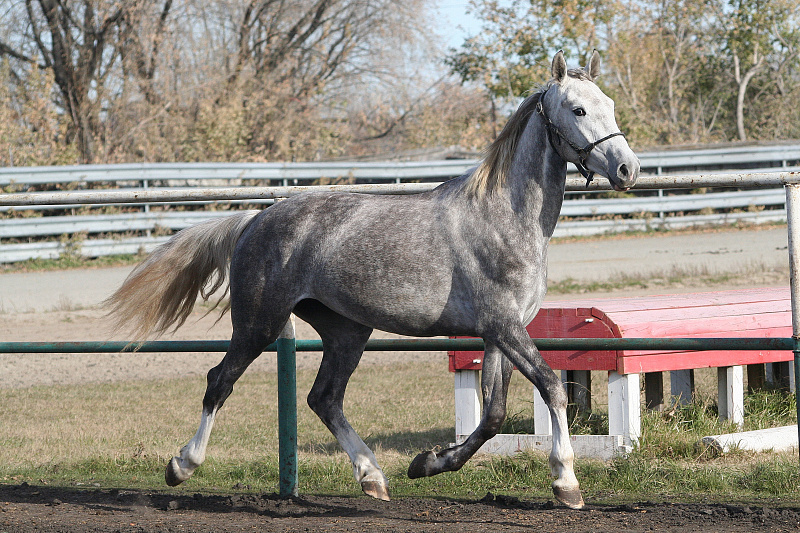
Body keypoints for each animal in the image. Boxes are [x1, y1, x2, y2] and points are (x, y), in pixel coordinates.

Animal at [106, 50, 639, 509]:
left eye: (610, 106)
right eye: (578, 109)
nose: (627, 168)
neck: (505, 218)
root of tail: (255, 220)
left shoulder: (498, 335)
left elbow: (493, 416)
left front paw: (427, 463)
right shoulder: (505, 328)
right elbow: (550, 387)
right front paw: (566, 482)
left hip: (347, 330)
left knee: (324, 398)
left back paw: (374, 477)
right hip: (260, 322)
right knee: (220, 382)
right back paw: (181, 465)